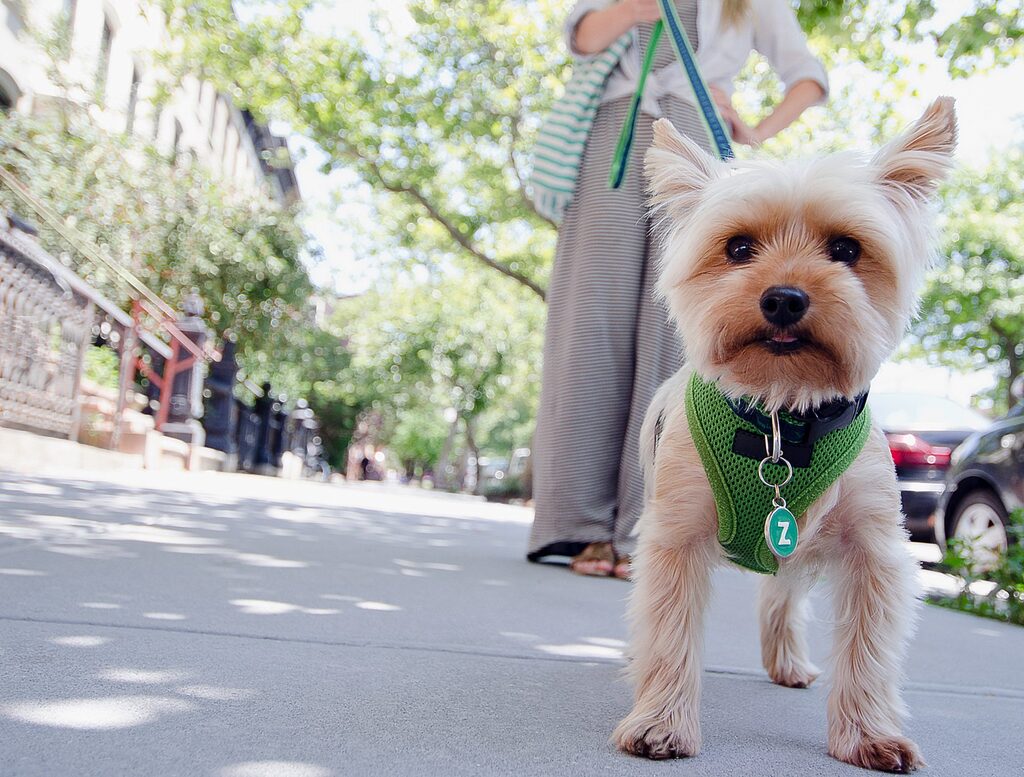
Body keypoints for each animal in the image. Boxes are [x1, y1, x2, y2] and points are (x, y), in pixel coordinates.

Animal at [610, 97, 954, 773]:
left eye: (846, 249)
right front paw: (660, 722)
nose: (785, 299)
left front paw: (867, 734)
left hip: (795, 542)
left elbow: (869, 651)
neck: (778, 415)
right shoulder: (674, 537)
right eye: (738, 247)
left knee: (781, 597)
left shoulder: (873, 549)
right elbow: (667, 629)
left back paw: (788, 661)